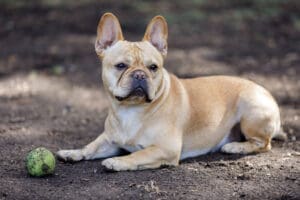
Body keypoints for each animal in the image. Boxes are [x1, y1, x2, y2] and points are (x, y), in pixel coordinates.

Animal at [56, 12, 286, 171]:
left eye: (153, 67)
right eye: (121, 66)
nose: (139, 75)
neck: (131, 110)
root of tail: (266, 93)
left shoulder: (165, 149)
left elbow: (137, 155)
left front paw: (118, 161)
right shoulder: (109, 139)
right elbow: (91, 146)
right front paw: (73, 152)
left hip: (251, 111)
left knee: (264, 144)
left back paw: (235, 147)